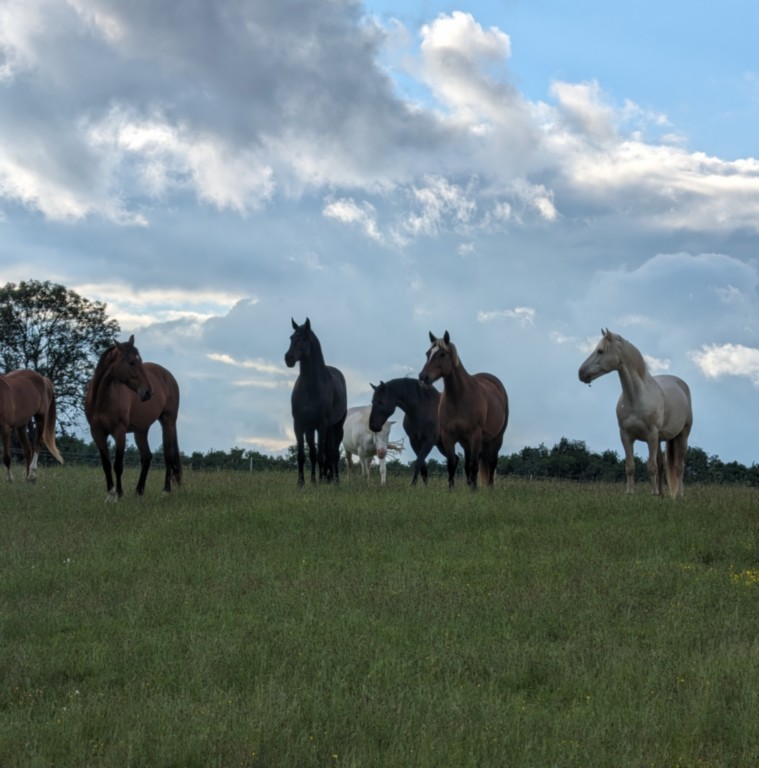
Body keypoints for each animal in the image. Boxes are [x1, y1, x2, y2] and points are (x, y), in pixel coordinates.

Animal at [84, 335, 182, 502]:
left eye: (140, 361)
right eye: (131, 362)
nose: (148, 392)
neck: (102, 399)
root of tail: (168, 375)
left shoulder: (119, 431)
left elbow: (118, 464)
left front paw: (118, 494)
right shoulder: (97, 433)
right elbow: (106, 464)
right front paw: (110, 494)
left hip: (168, 421)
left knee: (168, 455)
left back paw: (165, 491)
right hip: (141, 430)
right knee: (146, 457)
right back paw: (138, 491)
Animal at [285, 317, 347, 486]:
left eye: (304, 338)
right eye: (291, 337)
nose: (288, 358)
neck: (311, 388)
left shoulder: (322, 424)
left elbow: (321, 455)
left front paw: (320, 481)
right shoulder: (300, 425)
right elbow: (303, 455)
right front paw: (302, 482)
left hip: (336, 427)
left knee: (333, 454)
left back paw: (335, 480)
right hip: (312, 429)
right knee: (318, 452)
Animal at [418, 331, 509, 489]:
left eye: (442, 354)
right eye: (428, 353)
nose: (423, 377)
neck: (459, 399)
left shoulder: (475, 435)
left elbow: (474, 465)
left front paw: (474, 490)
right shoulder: (448, 436)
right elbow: (452, 464)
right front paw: (452, 489)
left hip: (497, 438)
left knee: (491, 463)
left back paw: (489, 487)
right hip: (466, 443)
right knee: (469, 465)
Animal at [578, 328, 693, 498]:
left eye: (600, 351)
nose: (581, 373)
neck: (636, 398)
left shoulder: (651, 435)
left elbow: (651, 466)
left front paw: (652, 493)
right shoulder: (626, 436)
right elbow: (630, 466)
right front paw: (630, 492)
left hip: (682, 435)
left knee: (679, 466)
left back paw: (678, 495)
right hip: (660, 440)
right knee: (662, 465)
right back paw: (662, 494)